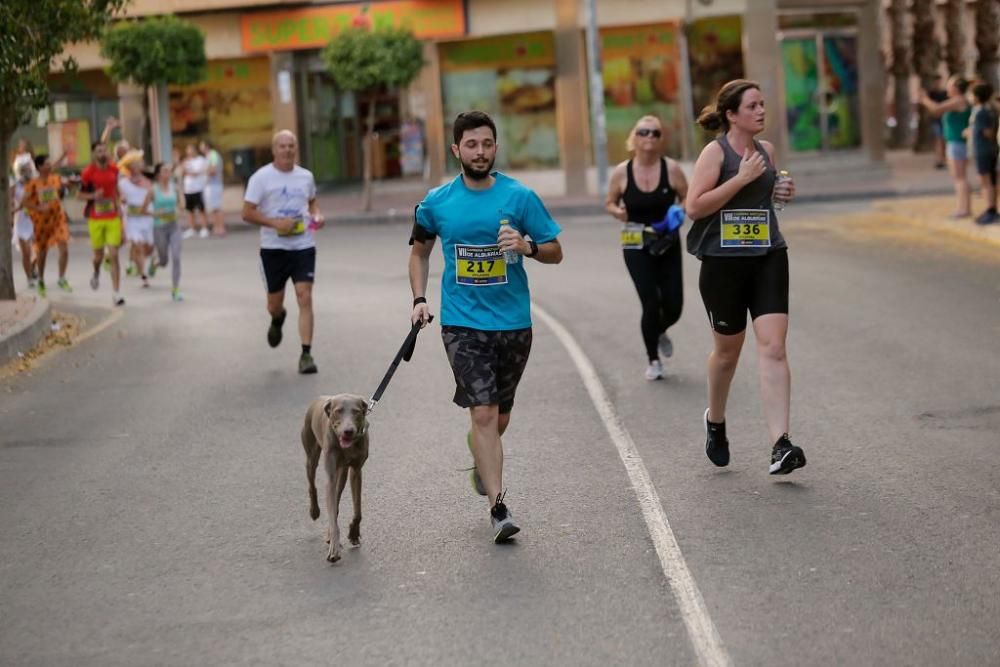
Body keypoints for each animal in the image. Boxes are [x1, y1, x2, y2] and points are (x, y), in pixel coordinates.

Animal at [304, 394, 372, 560]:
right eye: (338, 411)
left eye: (356, 411)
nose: (348, 431)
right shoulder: (331, 475)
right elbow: (332, 514)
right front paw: (334, 547)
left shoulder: (356, 471)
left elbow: (357, 511)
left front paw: (353, 533)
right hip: (311, 455)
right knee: (312, 484)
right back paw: (314, 511)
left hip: (343, 471)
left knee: (337, 496)